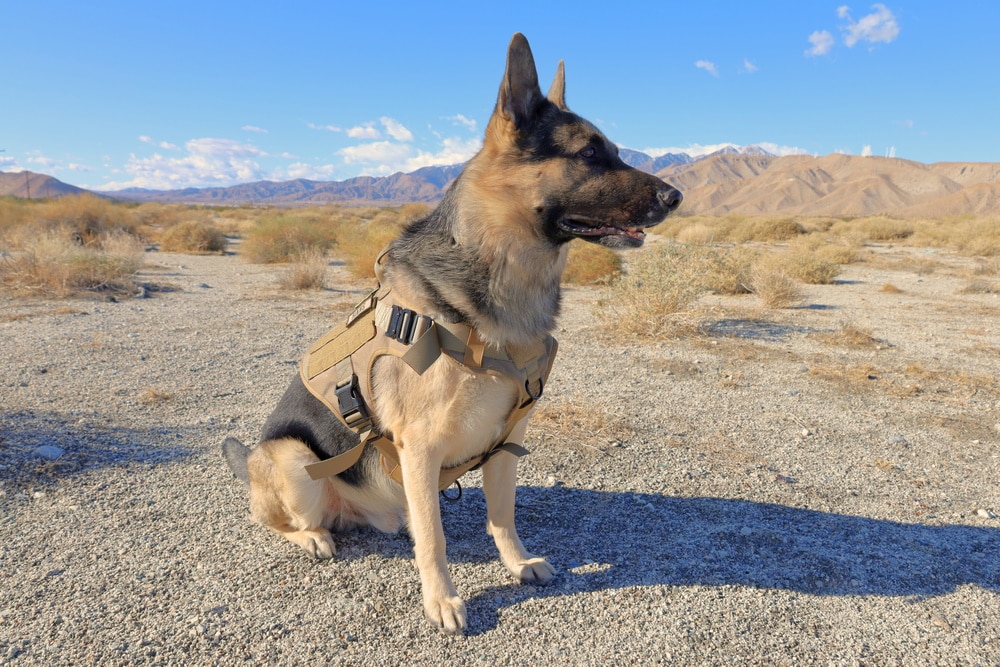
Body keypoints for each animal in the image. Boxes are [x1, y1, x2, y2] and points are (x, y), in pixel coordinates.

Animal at [223, 32, 684, 636]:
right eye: (588, 153)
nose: (676, 197)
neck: (499, 271)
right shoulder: (419, 447)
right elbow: (435, 538)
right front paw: (442, 600)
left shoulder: (506, 442)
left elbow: (502, 515)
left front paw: (517, 564)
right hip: (292, 460)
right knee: (283, 519)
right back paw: (315, 537)